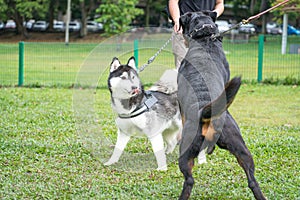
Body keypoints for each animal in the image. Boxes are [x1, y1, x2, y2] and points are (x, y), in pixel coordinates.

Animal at [177, 11, 266, 199]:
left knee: (189, 180)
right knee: (252, 180)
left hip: (186, 152)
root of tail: (206, 114)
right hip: (241, 148)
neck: (205, 40)